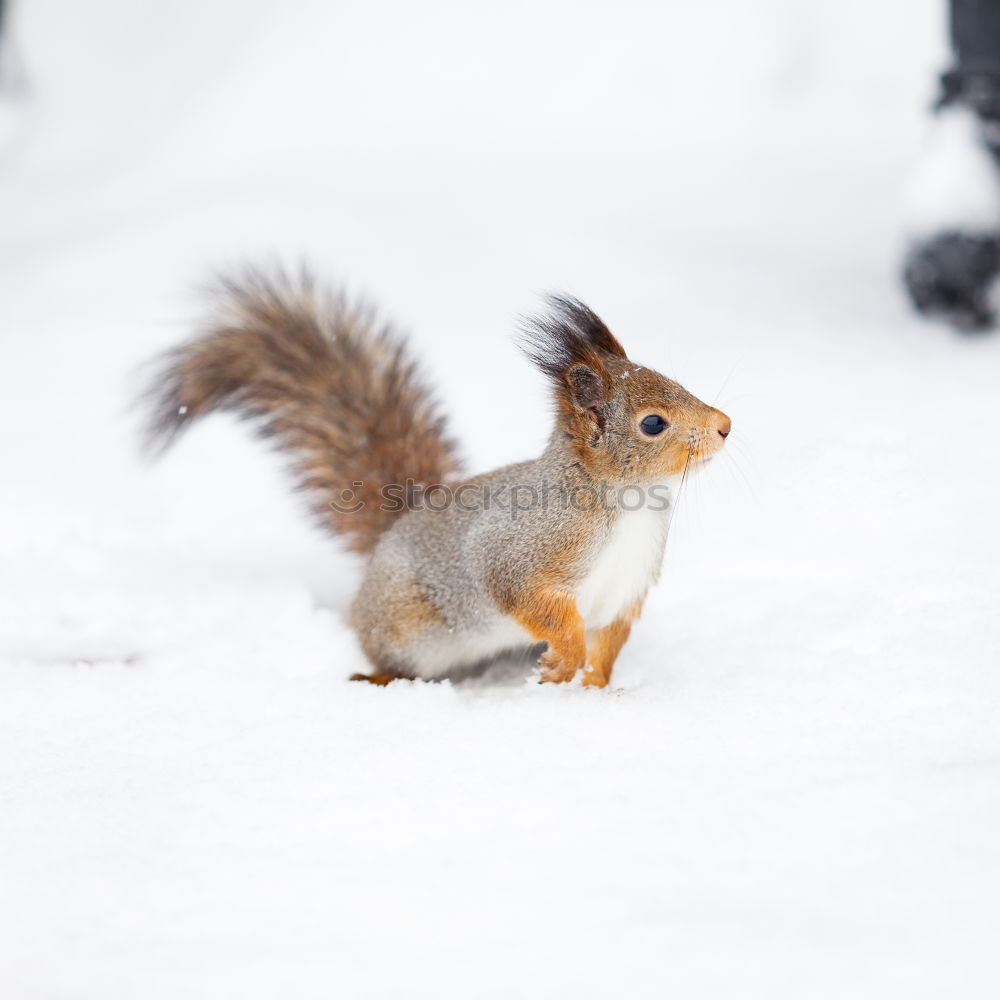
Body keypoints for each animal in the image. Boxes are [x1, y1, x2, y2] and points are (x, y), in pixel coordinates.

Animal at [145, 270, 732, 684]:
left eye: (678, 382)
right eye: (653, 423)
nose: (725, 426)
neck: (631, 503)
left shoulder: (626, 592)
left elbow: (607, 647)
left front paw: (595, 689)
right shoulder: (522, 552)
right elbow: (532, 602)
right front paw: (562, 661)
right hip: (407, 624)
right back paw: (377, 678)